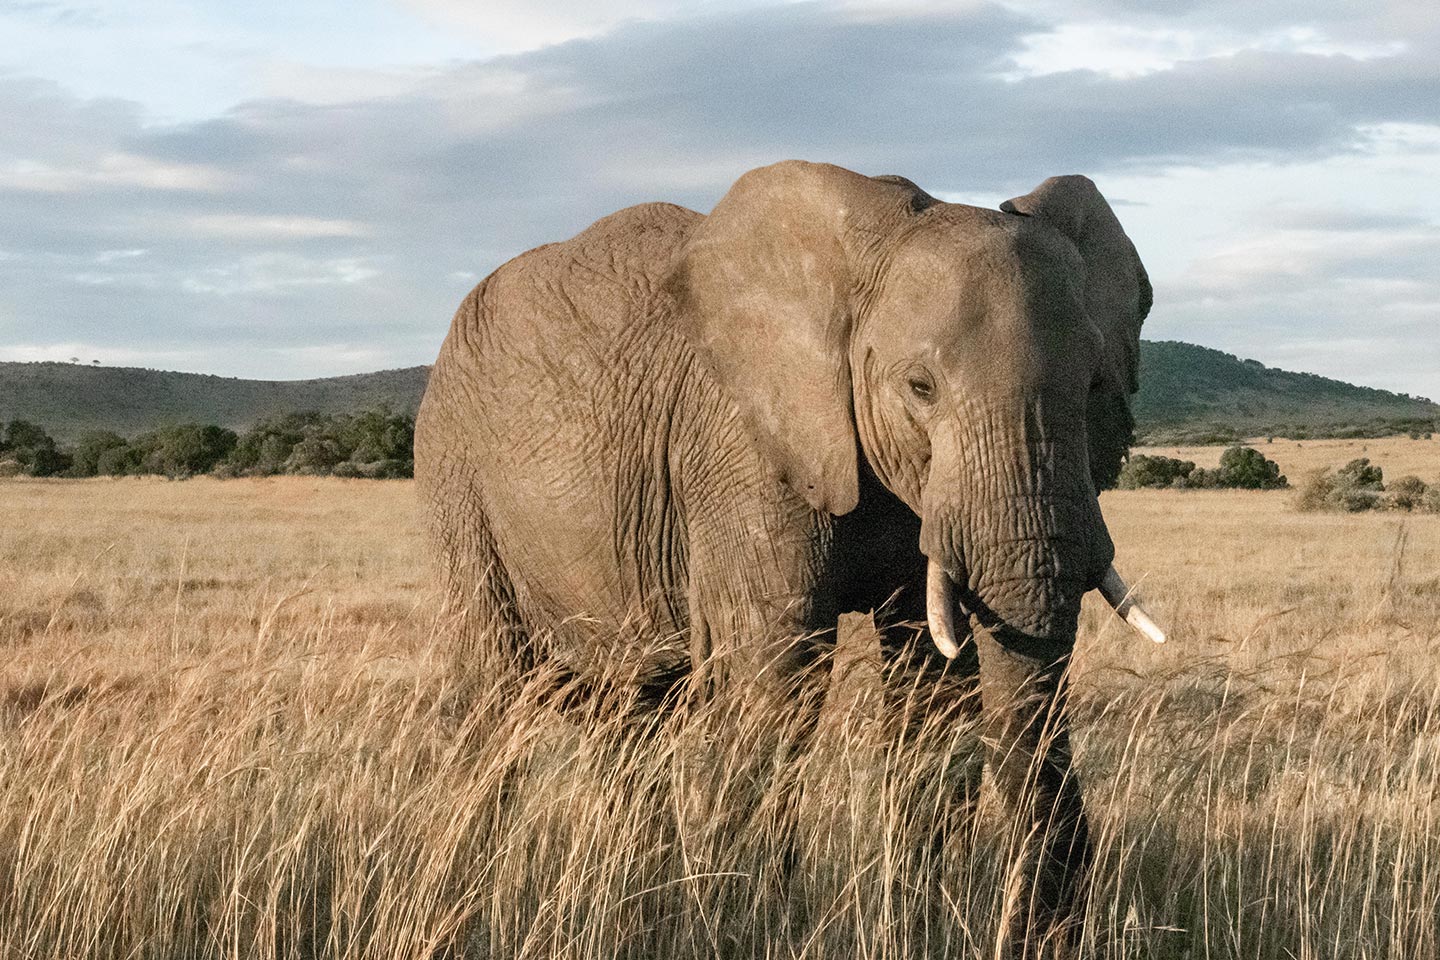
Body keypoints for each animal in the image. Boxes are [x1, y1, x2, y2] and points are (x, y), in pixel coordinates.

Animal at [415, 160, 1164, 957]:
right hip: (454, 472)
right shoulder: (741, 446)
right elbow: (776, 674)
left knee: (636, 715)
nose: (1043, 932)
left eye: (1095, 386)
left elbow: (933, 684)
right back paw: (471, 891)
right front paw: (745, 926)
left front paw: (916, 919)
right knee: (491, 692)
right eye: (920, 386)